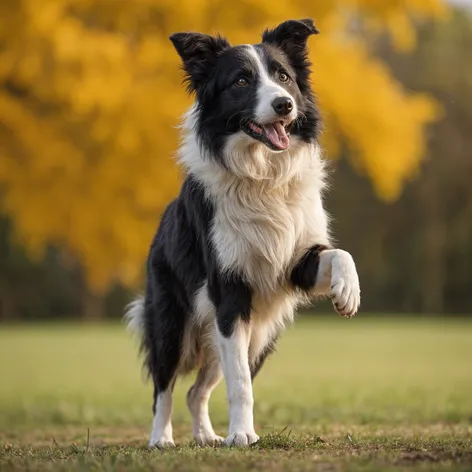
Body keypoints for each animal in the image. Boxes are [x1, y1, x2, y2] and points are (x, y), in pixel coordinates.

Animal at [125, 17, 362, 446]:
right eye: (240, 81)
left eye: (283, 77)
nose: (284, 104)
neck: (263, 176)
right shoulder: (230, 290)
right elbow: (240, 385)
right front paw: (240, 435)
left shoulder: (294, 265)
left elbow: (339, 253)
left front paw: (347, 292)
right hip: (172, 323)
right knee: (164, 387)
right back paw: (161, 439)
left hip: (260, 338)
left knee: (195, 390)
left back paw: (205, 436)